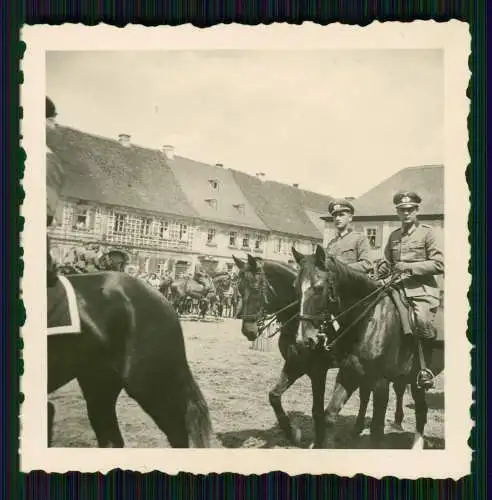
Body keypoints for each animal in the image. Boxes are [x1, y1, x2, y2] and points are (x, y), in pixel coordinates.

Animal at [231, 254, 412, 450]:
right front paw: (292, 433)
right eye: (239, 289)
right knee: (365, 393)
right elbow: (274, 396)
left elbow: (317, 410)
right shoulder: (294, 364)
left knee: (397, 388)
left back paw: (397, 422)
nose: (248, 330)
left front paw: (318, 440)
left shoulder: (318, 370)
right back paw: (357, 428)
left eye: (256, 289)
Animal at [294, 246, 444, 450]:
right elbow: (330, 415)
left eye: (318, 288)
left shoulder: (381, 383)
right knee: (420, 407)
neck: (369, 318)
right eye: (296, 287)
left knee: (421, 409)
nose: (304, 340)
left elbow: (376, 430)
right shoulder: (349, 373)